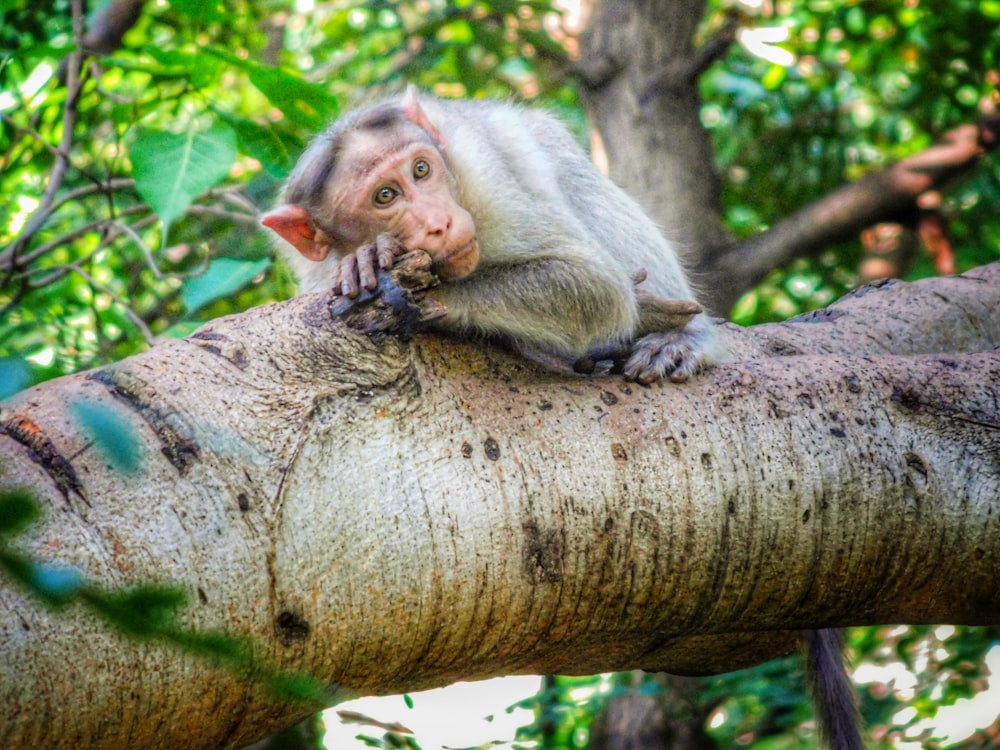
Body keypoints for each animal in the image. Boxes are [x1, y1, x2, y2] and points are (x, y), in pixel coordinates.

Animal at [262, 85, 724, 384]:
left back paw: (682, 338)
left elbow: (594, 282)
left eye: (421, 169)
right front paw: (365, 259)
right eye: (384, 196)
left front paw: (416, 300)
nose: (439, 222)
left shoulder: (487, 184)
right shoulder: (314, 272)